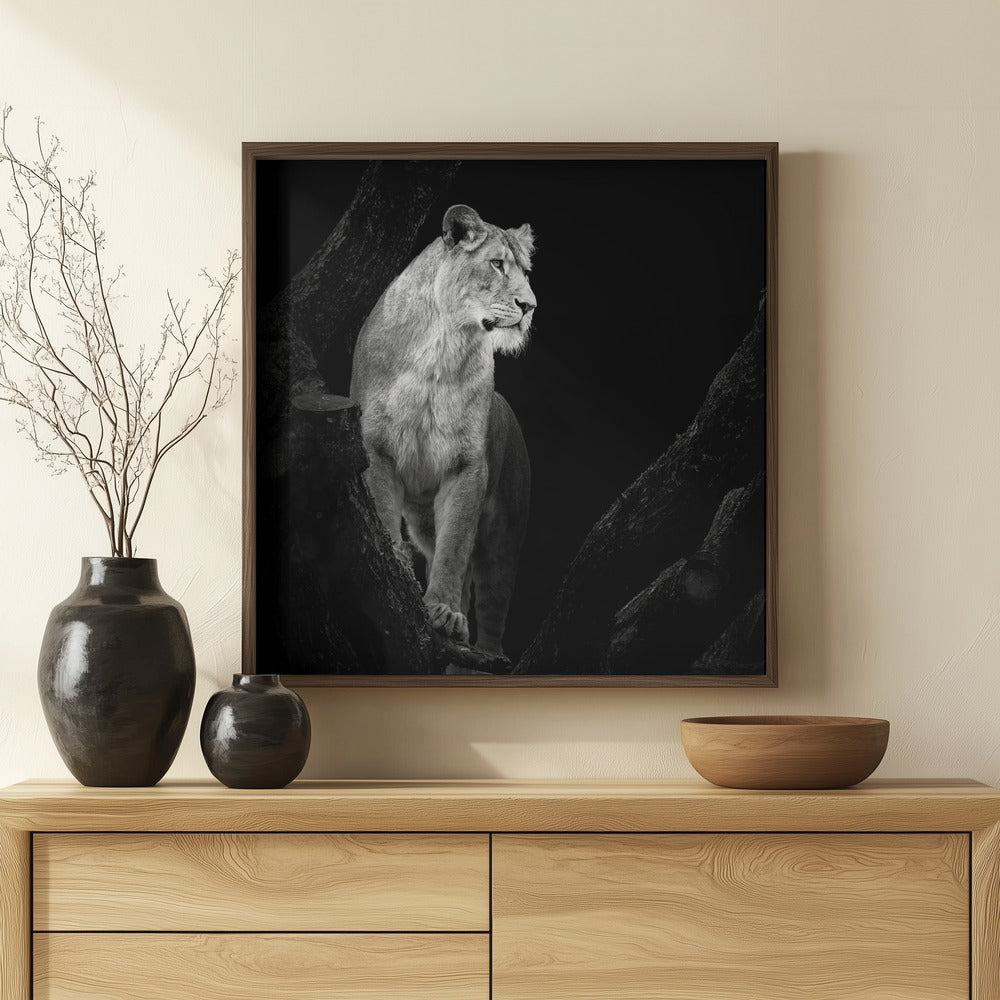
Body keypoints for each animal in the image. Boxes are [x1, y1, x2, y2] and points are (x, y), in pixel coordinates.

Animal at [350, 204, 535, 656]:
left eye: (526, 271)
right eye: (497, 264)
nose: (530, 306)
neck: (444, 344)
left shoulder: (467, 466)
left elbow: (455, 548)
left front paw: (446, 613)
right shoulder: (374, 445)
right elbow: (383, 513)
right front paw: (397, 564)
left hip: (506, 537)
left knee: (492, 603)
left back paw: (485, 654)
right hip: (423, 520)